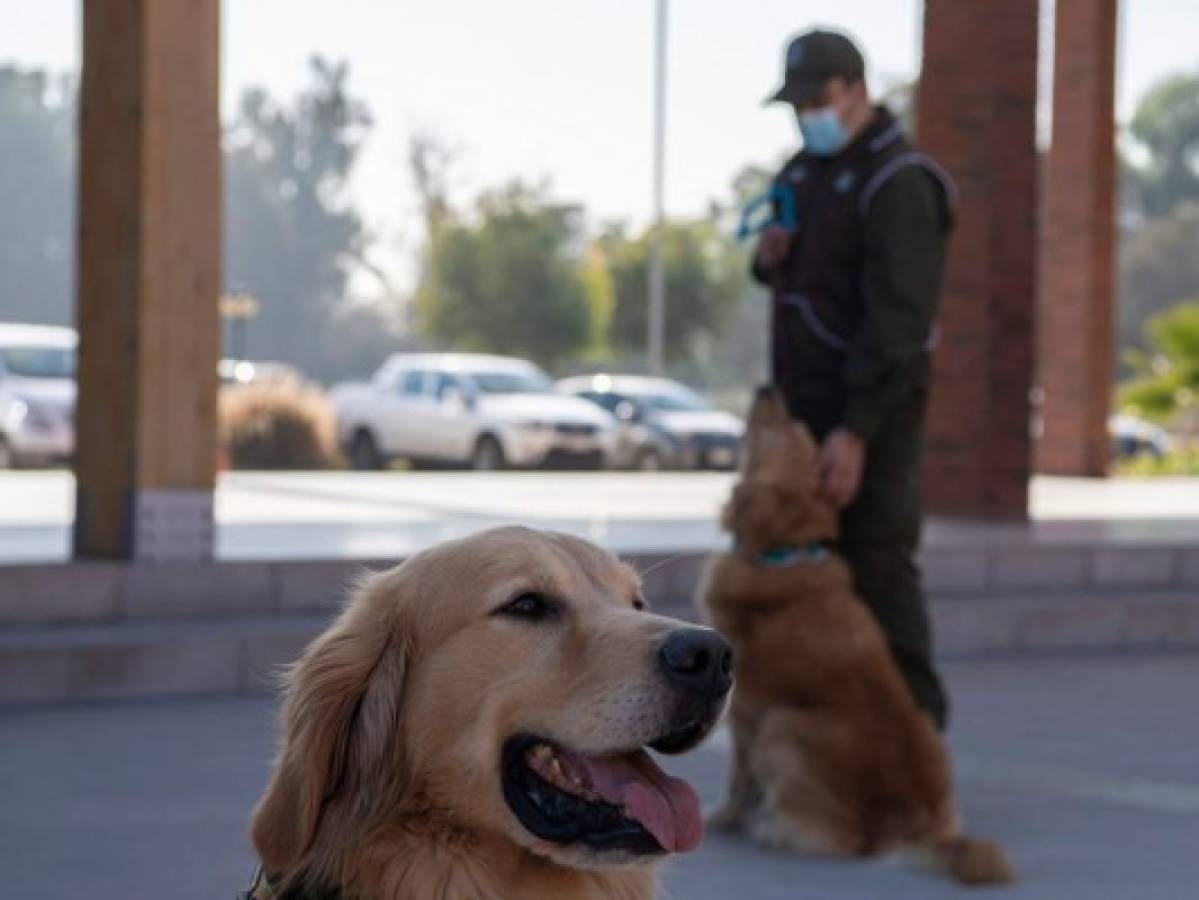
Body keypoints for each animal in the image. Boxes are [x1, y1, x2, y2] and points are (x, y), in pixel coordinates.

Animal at [700, 388, 1016, 886]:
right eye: (802, 431)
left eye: (785, 428)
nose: (770, 389)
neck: (782, 553)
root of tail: (905, 821)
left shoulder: (746, 710)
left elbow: (738, 775)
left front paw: (723, 816)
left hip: (782, 724)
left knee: (829, 837)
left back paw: (770, 826)